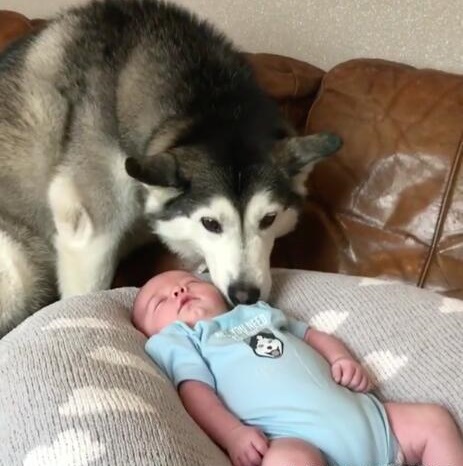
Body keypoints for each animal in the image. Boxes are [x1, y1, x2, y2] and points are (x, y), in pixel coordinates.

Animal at [0, 0, 341, 336]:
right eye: (210, 223)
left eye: (269, 219)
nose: (246, 295)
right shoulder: (89, 232)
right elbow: (85, 290)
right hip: (16, 270)